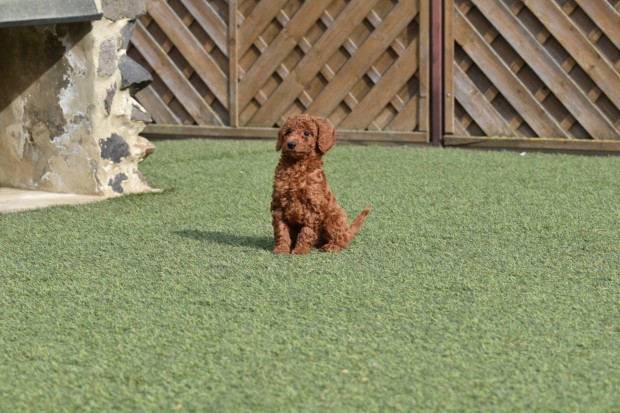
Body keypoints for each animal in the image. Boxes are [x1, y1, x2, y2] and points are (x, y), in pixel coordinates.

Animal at [271, 114, 371, 254]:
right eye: (288, 132)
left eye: (306, 133)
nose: (290, 144)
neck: (297, 168)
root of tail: (348, 232)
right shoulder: (278, 205)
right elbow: (281, 229)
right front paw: (281, 249)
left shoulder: (313, 207)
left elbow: (306, 231)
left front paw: (300, 250)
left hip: (334, 218)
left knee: (342, 240)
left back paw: (332, 246)